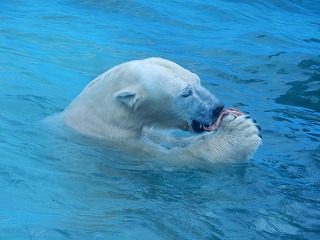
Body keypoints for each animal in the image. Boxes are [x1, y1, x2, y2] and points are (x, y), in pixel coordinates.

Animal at [61, 57, 262, 163]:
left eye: (198, 80)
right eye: (186, 93)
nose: (217, 107)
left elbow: (173, 141)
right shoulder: (125, 147)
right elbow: (179, 158)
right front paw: (242, 131)